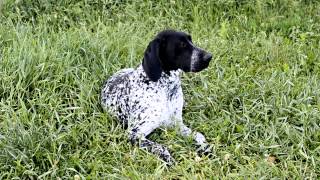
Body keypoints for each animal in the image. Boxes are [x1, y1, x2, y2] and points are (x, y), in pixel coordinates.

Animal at [101, 29, 214, 165]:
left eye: (190, 40)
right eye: (182, 45)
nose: (209, 56)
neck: (166, 89)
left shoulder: (176, 124)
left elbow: (198, 135)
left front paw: (205, 147)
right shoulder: (134, 134)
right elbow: (160, 147)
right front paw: (169, 159)